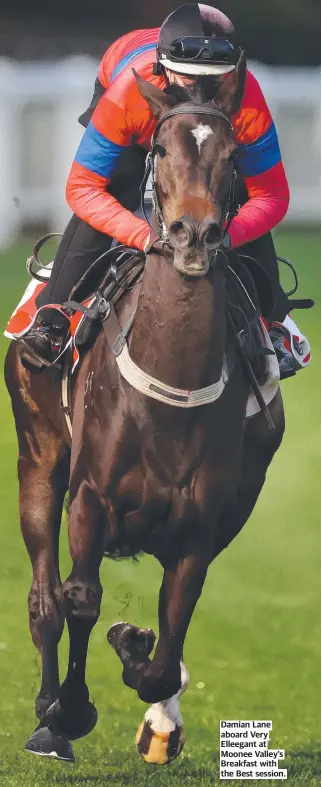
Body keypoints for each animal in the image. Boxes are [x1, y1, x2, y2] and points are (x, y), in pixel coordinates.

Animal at [3, 53, 284, 764]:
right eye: (159, 148)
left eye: (235, 155)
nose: (193, 234)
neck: (170, 393)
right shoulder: (90, 498)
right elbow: (78, 599)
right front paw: (68, 710)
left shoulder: (203, 525)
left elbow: (169, 630)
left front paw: (139, 662)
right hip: (38, 460)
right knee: (44, 602)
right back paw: (48, 716)